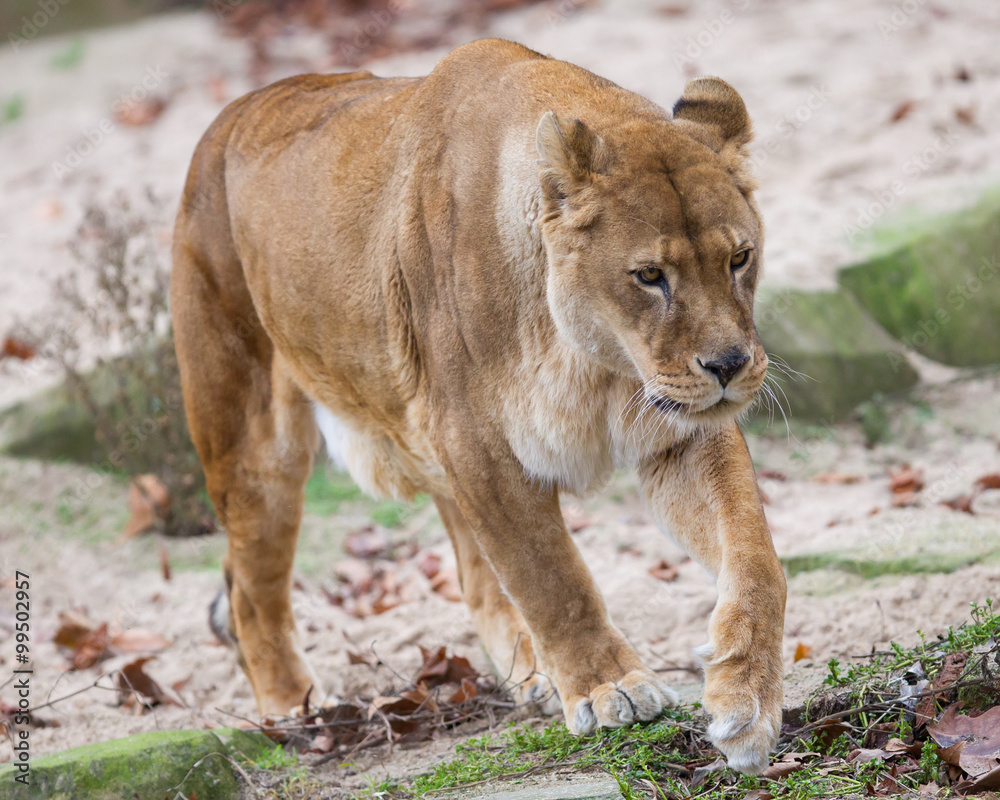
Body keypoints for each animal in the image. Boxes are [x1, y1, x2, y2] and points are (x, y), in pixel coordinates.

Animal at [171, 38, 786, 774]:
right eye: (649, 276)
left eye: (740, 258)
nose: (728, 367)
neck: (597, 362)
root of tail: (227, 119)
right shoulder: (479, 445)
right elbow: (552, 575)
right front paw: (609, 688)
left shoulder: (680, 432)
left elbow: (755, 560)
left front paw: (746, 700)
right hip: (253, 441)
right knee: (252, 587)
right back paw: (294, 710)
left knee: (468, 573)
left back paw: (532, 676)